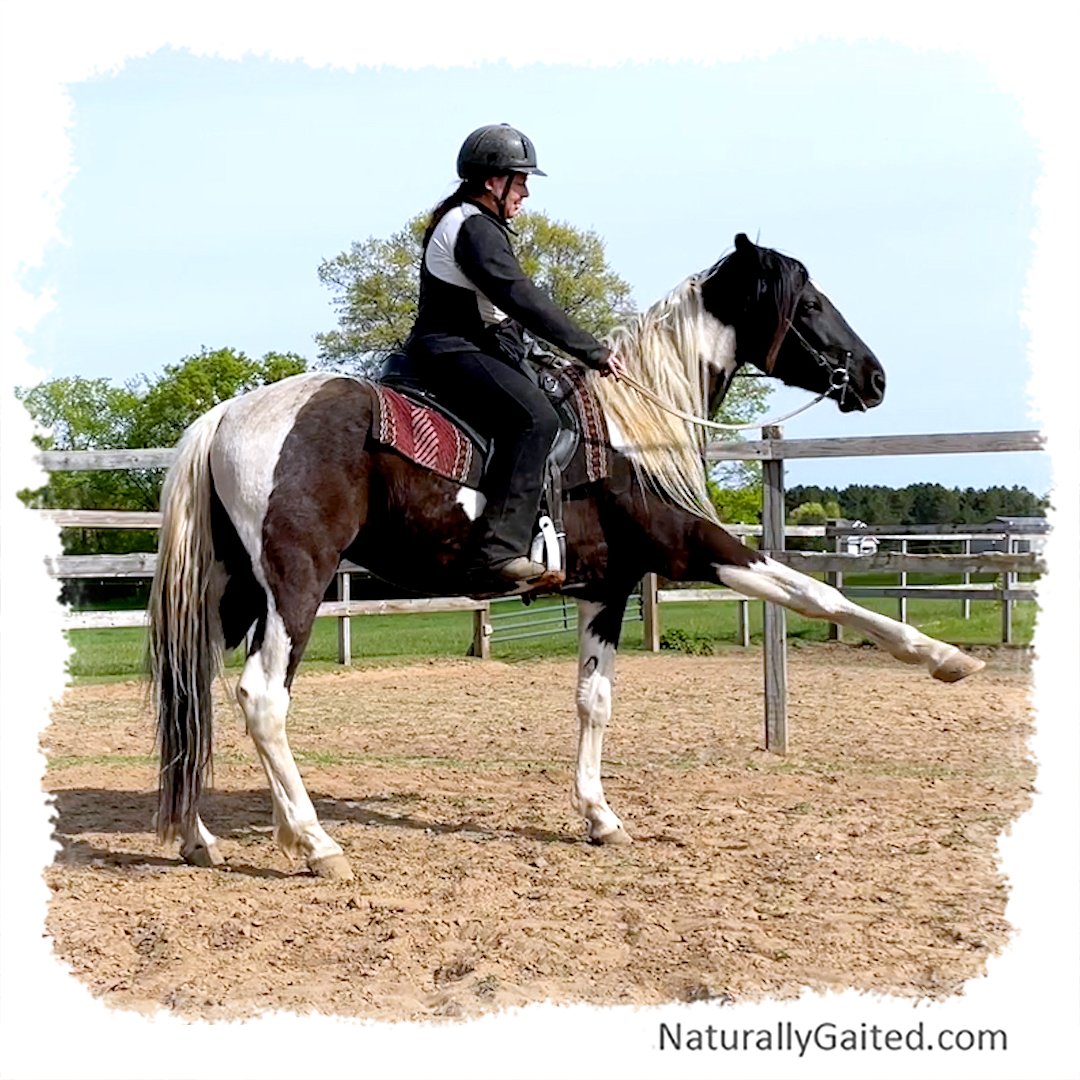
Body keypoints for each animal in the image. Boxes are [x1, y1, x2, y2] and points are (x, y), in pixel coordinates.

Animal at [149, 232, 983, 881]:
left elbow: (593, 699)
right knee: (262, 697)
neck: (633, 426)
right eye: (808, 304)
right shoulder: (695, 548)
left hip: (234, 593)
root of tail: (227, 415)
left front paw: (599, 817)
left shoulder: (607, 588)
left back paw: (199, 838)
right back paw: (316, 843)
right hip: (295, 585)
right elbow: (819, 594)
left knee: (193, 689)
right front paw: (945, 657)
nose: (873, 377)